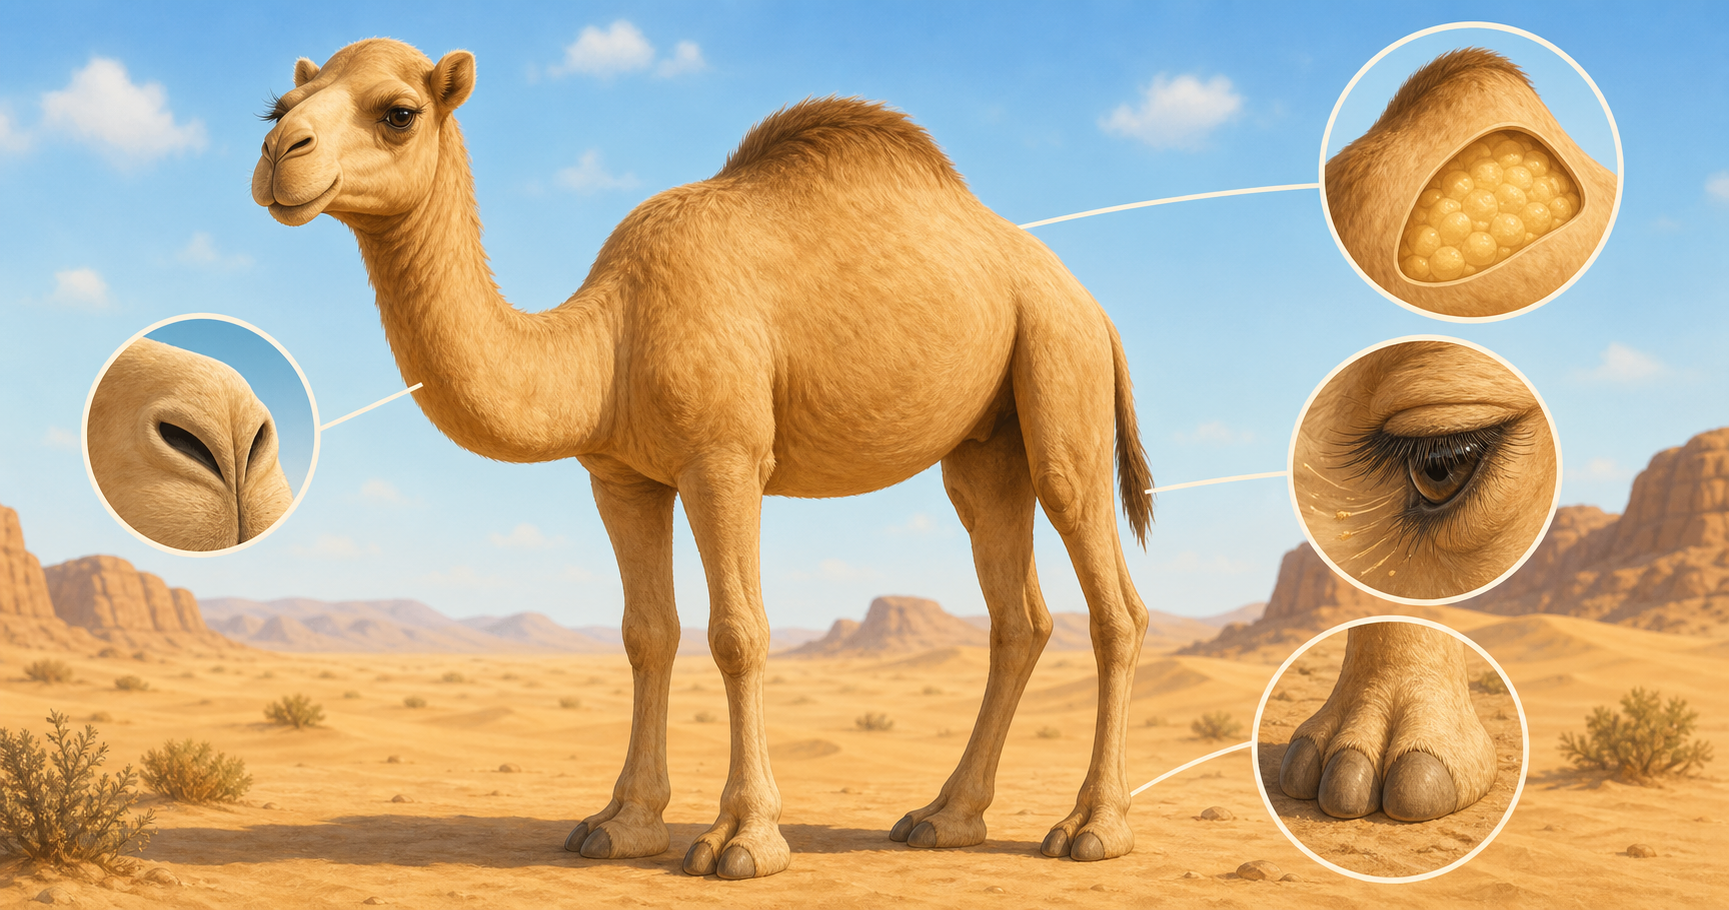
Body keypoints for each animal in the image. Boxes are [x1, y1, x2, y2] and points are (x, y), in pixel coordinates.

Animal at [250, 39, 1155, 879]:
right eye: (279, 105)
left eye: (398, 113)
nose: (278, 154)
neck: (608, 340)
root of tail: (1096, 306)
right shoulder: (621, 477)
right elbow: (646, 633)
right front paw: (620, 824)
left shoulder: (723, 457)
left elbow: (738, 634)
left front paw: (743, 839)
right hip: (984, 444)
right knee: (1017, 613)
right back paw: (944, 816)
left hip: (1059, 366)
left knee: (1110, 598)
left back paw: (1092, 828)